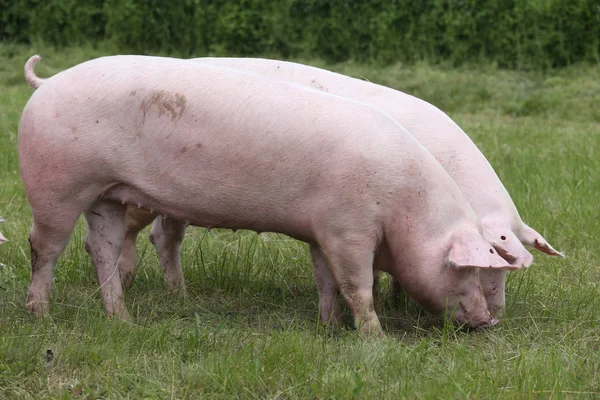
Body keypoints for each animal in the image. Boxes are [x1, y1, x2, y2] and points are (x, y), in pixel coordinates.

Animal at [18, 54, 516, 334]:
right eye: (467, 269)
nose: (489, 321)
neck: (403, 204)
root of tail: (47, 83)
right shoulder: (349, 229)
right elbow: (356, 285)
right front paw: (375, 339)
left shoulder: (321, 229)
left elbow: (325, 280)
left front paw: (329, 326)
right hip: (55, 184)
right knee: (45, 246)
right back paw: (40, 314)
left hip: (107, 196)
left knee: (99, 248)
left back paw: (122, 319)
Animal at [116, 57, 564, 316]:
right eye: (496, 259)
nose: (496, 316)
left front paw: (394, 299)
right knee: (134, 231)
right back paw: (127, 281)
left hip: (179, 200)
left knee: (165, 236)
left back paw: (178, 296)